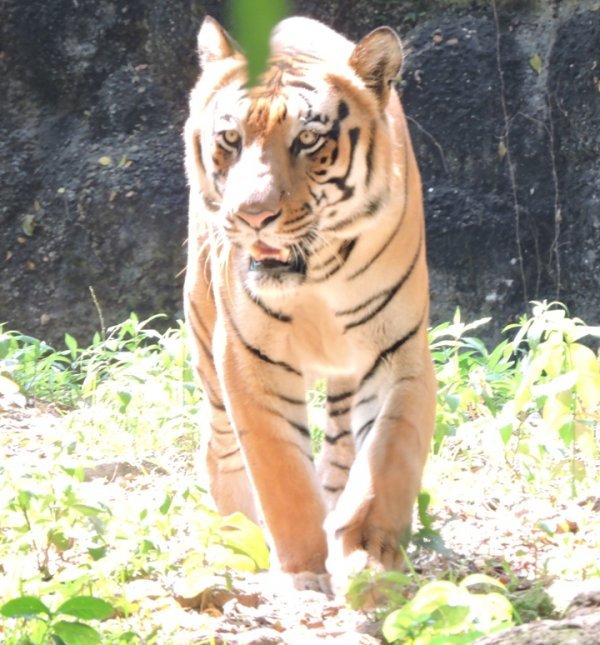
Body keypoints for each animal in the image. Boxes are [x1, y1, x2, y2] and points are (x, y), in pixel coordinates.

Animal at [183, 13, 436, 588]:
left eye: (308, 139)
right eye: (230, 138)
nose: (253, 216)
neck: (318, 274)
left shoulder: (398, 351)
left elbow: (387, 458)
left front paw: (371, 559)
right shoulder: (247, 356)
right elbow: (281, 473)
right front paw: (304, 572)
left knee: (341, 448)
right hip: (204, 335)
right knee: (220, 445)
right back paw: (236, 536)